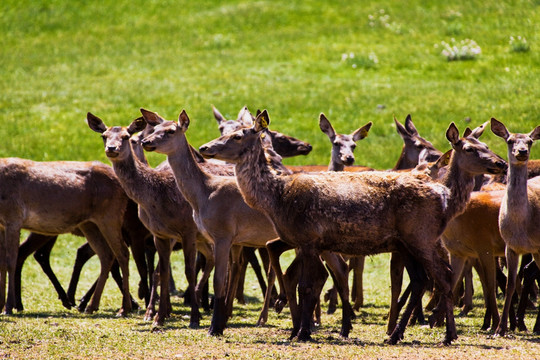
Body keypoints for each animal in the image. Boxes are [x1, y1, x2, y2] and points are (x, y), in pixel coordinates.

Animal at [0, 159, 133, 316]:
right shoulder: (2, 224)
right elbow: (2, 263)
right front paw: (1, 305)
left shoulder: (13, 218)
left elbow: (10, 262)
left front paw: (8, 307)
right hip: (89, 224)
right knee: (106, 254)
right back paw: (90, 306)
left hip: (110, 215)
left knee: (122, 253)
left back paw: (124, 308)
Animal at [138, 109, 354, 338]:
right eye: (155, 128)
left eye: (170, 131)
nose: (146, 142)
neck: (203, 195)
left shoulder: (223, 233)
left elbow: (219, 280)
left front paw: (214, 327)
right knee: (339, 268)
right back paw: (341, 326)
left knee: (333, 270)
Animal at [198, 110, 506, 346]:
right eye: (226, 132)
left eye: (237, 136)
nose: (204, 148)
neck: (276, 198)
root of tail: (443, 194)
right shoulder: (307, 242)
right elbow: (311, 282)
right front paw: (302, 328)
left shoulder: (308, 238)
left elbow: (308, 286)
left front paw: (303, 332)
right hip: (409, 242)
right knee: (423, 279)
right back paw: (395, 335)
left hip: (423, 236)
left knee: (442, 276)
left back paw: (448, 335)